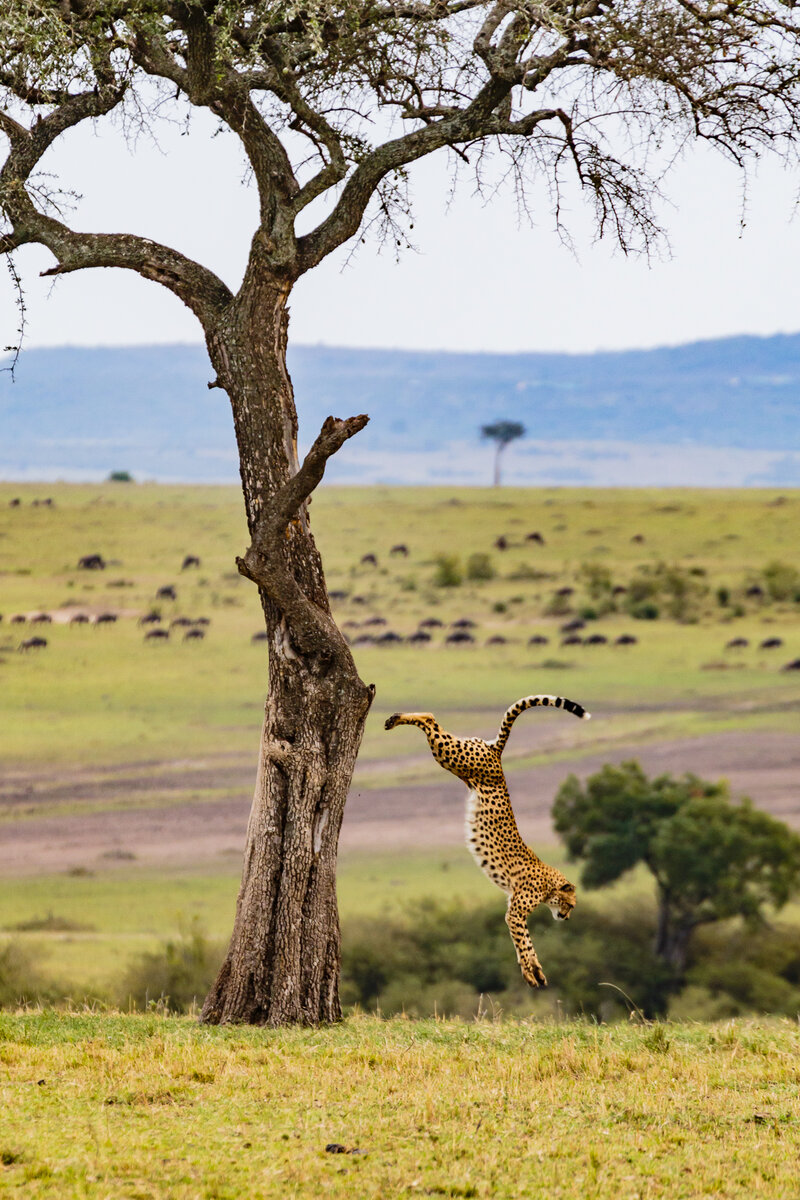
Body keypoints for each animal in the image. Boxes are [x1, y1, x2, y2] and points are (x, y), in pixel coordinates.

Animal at [383, 696, 592, 984]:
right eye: (569, 904)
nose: (567, 918)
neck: (548, 882)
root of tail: (496, 751)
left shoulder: (511, 904)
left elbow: (523, 943)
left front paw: (533, 971)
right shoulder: (515, 912)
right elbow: (524, 941)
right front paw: (532, 972)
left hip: (456, 764)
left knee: (434, 723)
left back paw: (395, 717)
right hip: (453, 754)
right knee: (430, 718)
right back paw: (395, 719)